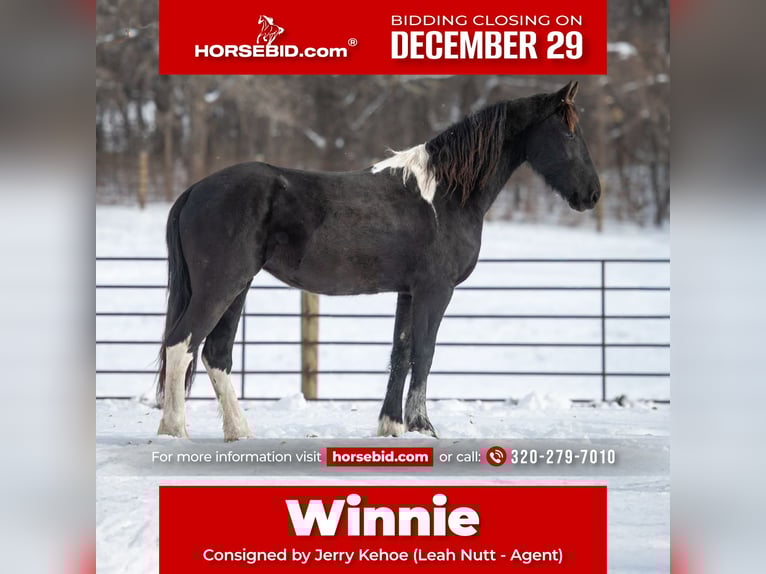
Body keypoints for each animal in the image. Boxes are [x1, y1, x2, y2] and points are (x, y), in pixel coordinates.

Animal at [156, 81, 600, 441]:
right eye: (568, 132)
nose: (592, 194)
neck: (445, 195)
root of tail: (194, 190)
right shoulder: (435, 291)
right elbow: (425, 351)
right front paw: (423, 426)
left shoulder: (408, 292)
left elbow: (400, 353)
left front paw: (392, 426)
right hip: (221, 286)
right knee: (182, 344)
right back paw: (175, 430)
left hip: (238, 287)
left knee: (215, 355)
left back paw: (238, 432)